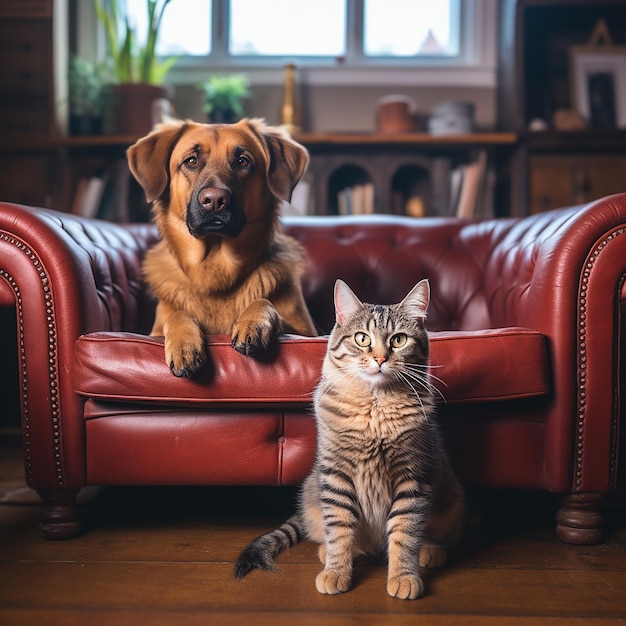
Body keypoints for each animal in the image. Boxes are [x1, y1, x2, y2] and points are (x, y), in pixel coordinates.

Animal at [126, 120, 316, 378]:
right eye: (191, 160)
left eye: (243, 161)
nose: (214, 201)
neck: (215, 266)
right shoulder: (155, 329)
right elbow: (176, 313)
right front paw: (184, 344)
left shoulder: (308, 334)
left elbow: (264, 301)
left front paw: (252, 323)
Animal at [234, 280, 464, 600]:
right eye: (362, 338)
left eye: (398, 340)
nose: (380, 359)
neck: (374, 409)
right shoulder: (337, 475)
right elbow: (340, 530)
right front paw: (336, 571)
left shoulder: (412, 478)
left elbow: (404, 533)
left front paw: (404, 576)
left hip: (451, 506)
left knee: (431, 536)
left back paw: (430, 552)